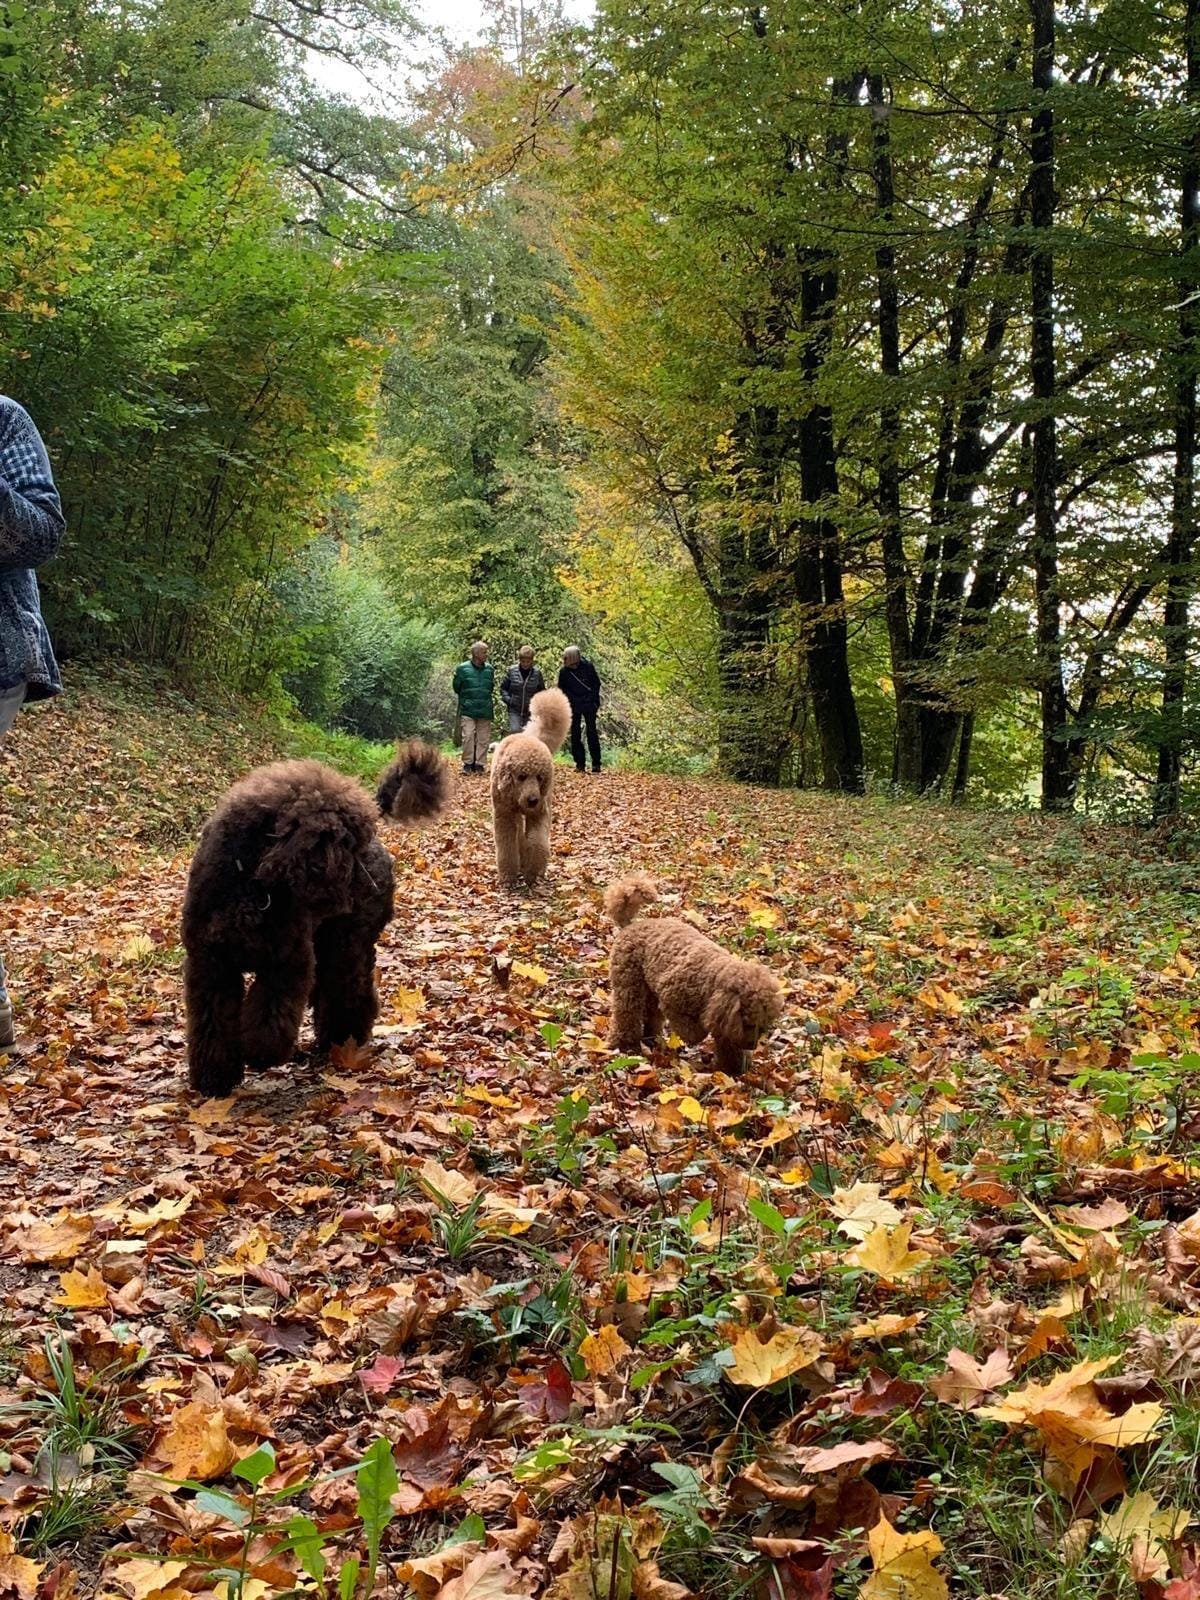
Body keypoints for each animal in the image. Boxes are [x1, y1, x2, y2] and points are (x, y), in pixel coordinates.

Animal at [182, 742, 451, 1097]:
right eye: (344, 841)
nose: (366, 879)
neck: (251, 882)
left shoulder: (286, 963)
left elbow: (270, 1017)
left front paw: (258, 1052)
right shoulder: (211, 964)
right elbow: (212, 1023)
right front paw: (215, 1077)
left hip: (346, 945)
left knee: (349, 991)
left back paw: (344, 1039)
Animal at [490, 688, 570, 887]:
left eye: (540, 777)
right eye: (521, 776)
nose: (533, 800)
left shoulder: (539, 813)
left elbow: (538, 842)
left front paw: (532, 872)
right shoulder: (504, 814)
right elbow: (507, 846)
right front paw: (508, 877)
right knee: (518, 834)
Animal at [605, 874, 784, 1073]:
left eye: (763, 1026)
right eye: (748, 1023)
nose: (752, 1046)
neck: (713, 978)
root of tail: (630, 925)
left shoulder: (726, 1026)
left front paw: (734, 1069)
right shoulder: (672, 1002)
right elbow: (694, 1033)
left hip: (648, 986)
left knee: (650, 1015)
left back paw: (652, 1040)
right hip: (629, 983)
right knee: (627, 1013)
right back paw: (624, 1045)